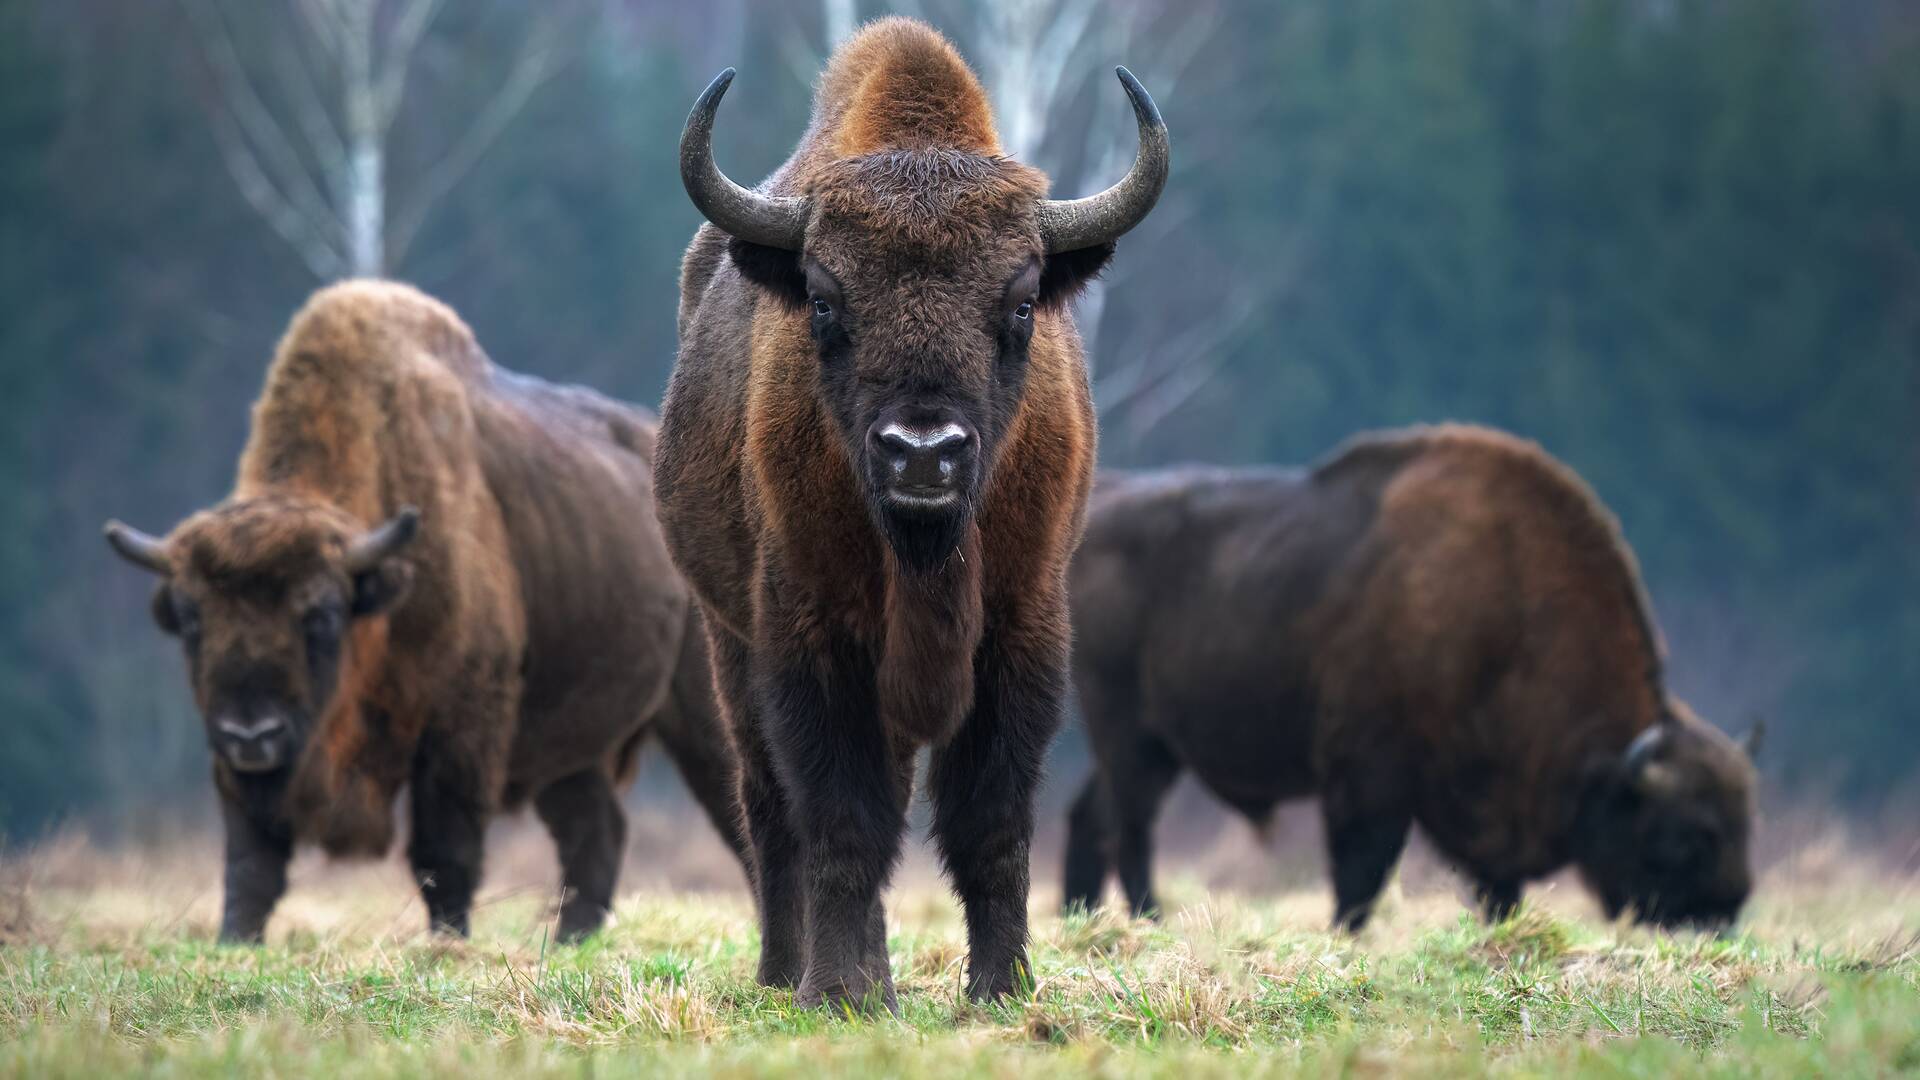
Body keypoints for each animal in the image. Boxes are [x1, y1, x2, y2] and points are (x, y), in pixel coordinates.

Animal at [101, 278, 748, 941]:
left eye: (322, 615)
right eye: (191, 619)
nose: (251, 734)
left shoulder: (459, 730)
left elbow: (444, 852)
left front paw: (449, 942)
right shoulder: (236, 770)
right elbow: (251, 860)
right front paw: (236, 939)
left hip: (700, 711)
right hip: (569, 740)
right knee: (596, 828)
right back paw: (572, 938)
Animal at [660, 18, 1167, 1006]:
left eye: (1022, 302)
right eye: (823, 302)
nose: (923, 452)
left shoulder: (1022, 628)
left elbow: (990, 821)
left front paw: (1002, 987)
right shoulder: (810, 639)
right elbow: (842, 819)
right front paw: (832, 991)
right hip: (728, 640)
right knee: (771, 806)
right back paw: (794, 974)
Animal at [1059, 424, 1758, 930]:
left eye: (1745, 823)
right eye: (1686, 833)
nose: (1718, 919)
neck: (1507, 615)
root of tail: (1100, 510)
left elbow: (1496, 888)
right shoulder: (1368, 778)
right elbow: (1361, 874)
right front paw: (1345, 936)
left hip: (1151, 746)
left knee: (1091, 816)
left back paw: (1082, 918)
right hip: (1130, 735)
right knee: (1131, 828)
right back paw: (1148, 920)